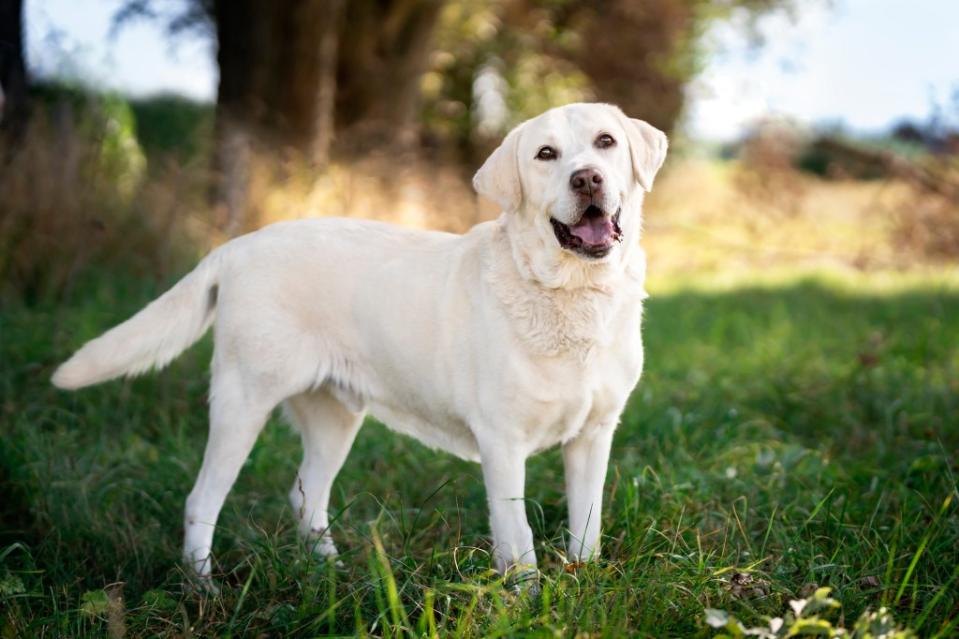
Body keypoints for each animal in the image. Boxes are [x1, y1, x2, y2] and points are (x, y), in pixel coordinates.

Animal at [50, 102, 668, 588]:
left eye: (606, 142)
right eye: (545, 154)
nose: (587, 179)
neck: (572, 295)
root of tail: (236, 246)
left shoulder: (594, 436)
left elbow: (586, 528)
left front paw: (583, 587)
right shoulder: (502, 444)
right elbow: (518, 542)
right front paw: (528, 602)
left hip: (335, 416)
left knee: (306, 497)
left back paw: (329, 574)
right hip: (242, 403)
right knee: (202, 500)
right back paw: (204, 590)